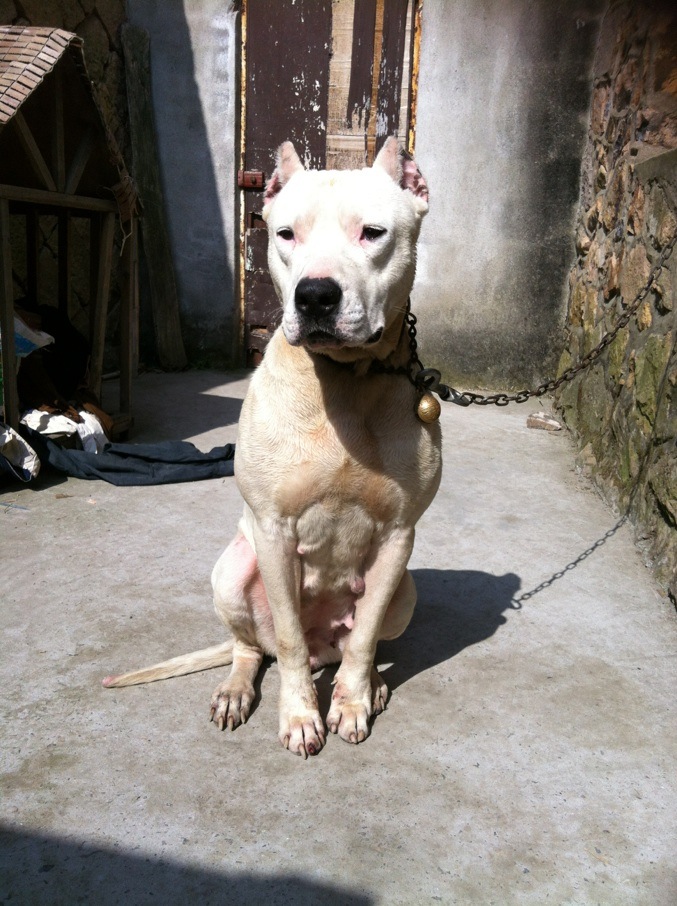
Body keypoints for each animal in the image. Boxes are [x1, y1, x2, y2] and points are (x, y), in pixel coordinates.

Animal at [104, 138, 442, 757]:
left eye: (373, 232)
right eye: (285, 234)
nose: (315, 296)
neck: (345, 382)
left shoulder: (398, 537)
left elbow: (364, 641)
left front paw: (351, 703)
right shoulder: (274, 530)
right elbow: (284, 642)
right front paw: (301, 716)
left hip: (405, 588)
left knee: (355, 644)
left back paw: (373, 683)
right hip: (234, 567)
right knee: (253, 647)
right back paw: (237, 689)